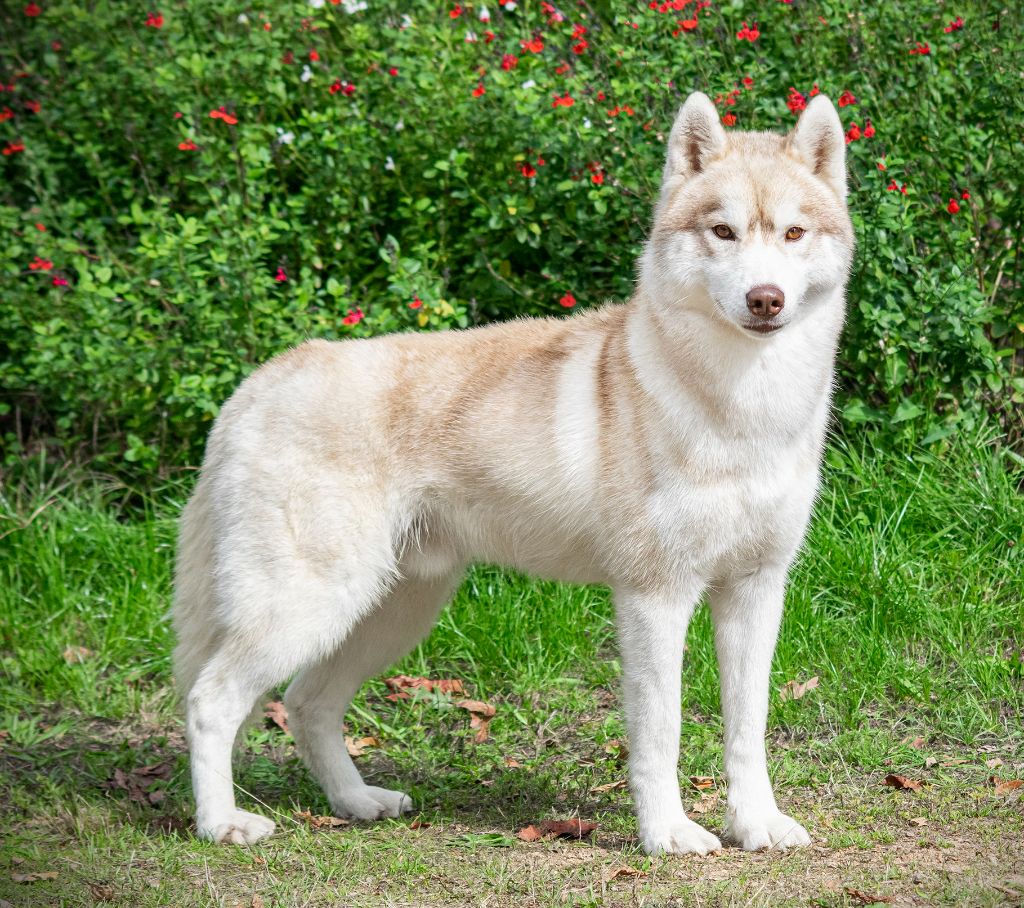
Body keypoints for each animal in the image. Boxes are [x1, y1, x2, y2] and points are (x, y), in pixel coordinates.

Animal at [172, 95, 851, 855]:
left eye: (793, 232)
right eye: (724, 232)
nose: (765, 300)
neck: (741, 410)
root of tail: (262, 378)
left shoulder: (756, 590)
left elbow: (747, 730)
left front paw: (755, 825)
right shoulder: (655, 598)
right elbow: (661, 733)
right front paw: (668, 835)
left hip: (390, 612)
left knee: (306, 703)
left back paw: (356, 802)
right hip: (311, 606)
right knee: (210, 702)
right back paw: (222, 824)